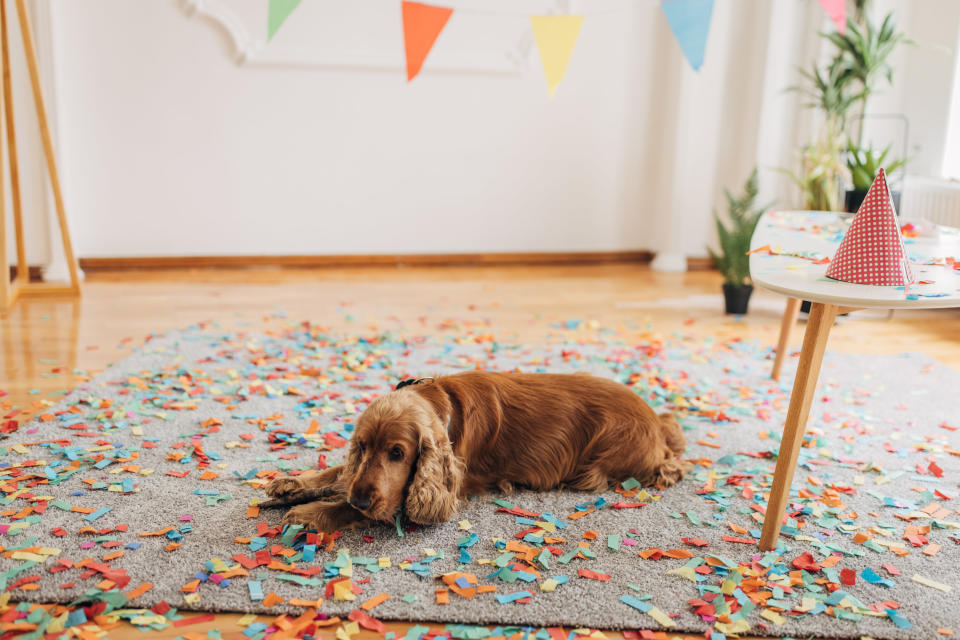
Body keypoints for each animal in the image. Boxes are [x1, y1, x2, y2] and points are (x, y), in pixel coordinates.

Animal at [262, 372, 688, 532]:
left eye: (398, 453)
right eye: (362, 447)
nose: (363, 498)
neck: (440, 404)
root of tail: (657, 422)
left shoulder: (436, 491)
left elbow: (357, 505)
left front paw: (312, 512)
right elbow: (337, 474)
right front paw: (292, 484)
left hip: (601, 458)